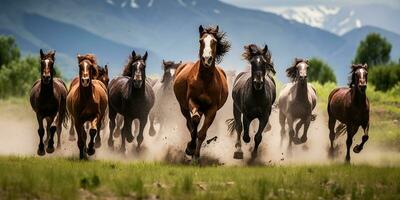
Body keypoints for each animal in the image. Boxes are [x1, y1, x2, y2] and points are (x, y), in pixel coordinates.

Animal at [173, 25, 230, 161]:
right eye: (200, 41)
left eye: (214, 41)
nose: (206, 59)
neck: (205, 80)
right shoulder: (192, 101)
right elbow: (194, 121)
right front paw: (190, 148)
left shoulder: (212, 109)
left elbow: (202, 133)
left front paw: (196, 156)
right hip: (183, 107)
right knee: (190, 123)